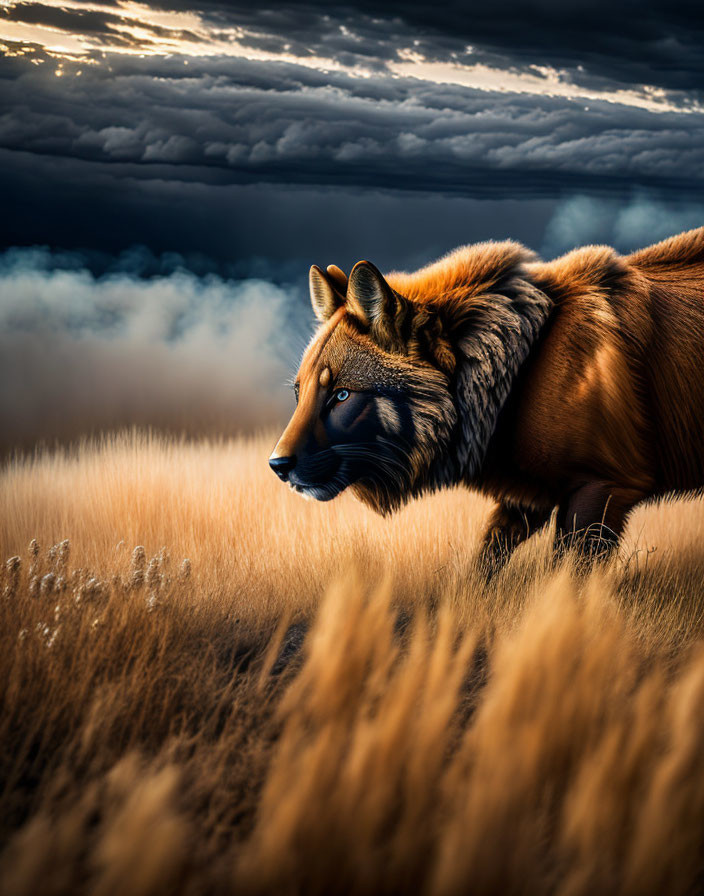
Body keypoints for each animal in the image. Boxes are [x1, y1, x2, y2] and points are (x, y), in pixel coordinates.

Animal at [268, 229, 704, 568]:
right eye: (300, 392)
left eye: (342, 394)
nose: (277, 466)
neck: (519, 373)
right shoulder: (525, 500)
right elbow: (484, 567)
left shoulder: (602, 491)